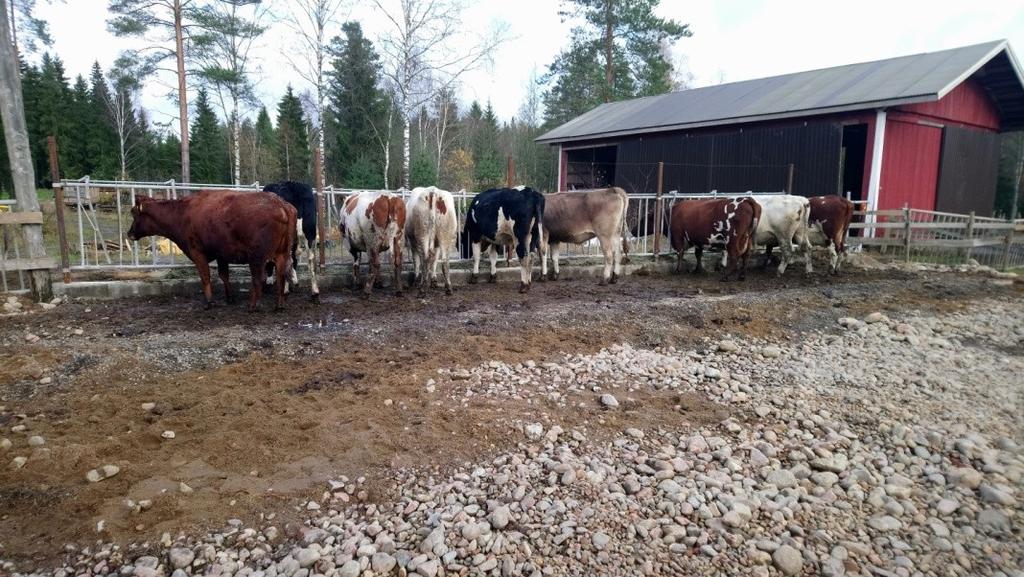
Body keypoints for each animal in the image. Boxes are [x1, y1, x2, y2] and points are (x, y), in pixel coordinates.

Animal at [126, 190, 296, 311]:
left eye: (134, 212)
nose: (129, 233)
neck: (182, 213)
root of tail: (280, 204)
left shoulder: (197, 251)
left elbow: (205, 277)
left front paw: (209, 302)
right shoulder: (222, 254)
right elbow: (224, 275)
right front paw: (229, 298)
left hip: (257, 257)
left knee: (259, 279)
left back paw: (252, 306)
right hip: (282, 253)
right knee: (281, 276)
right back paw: (279, 304)